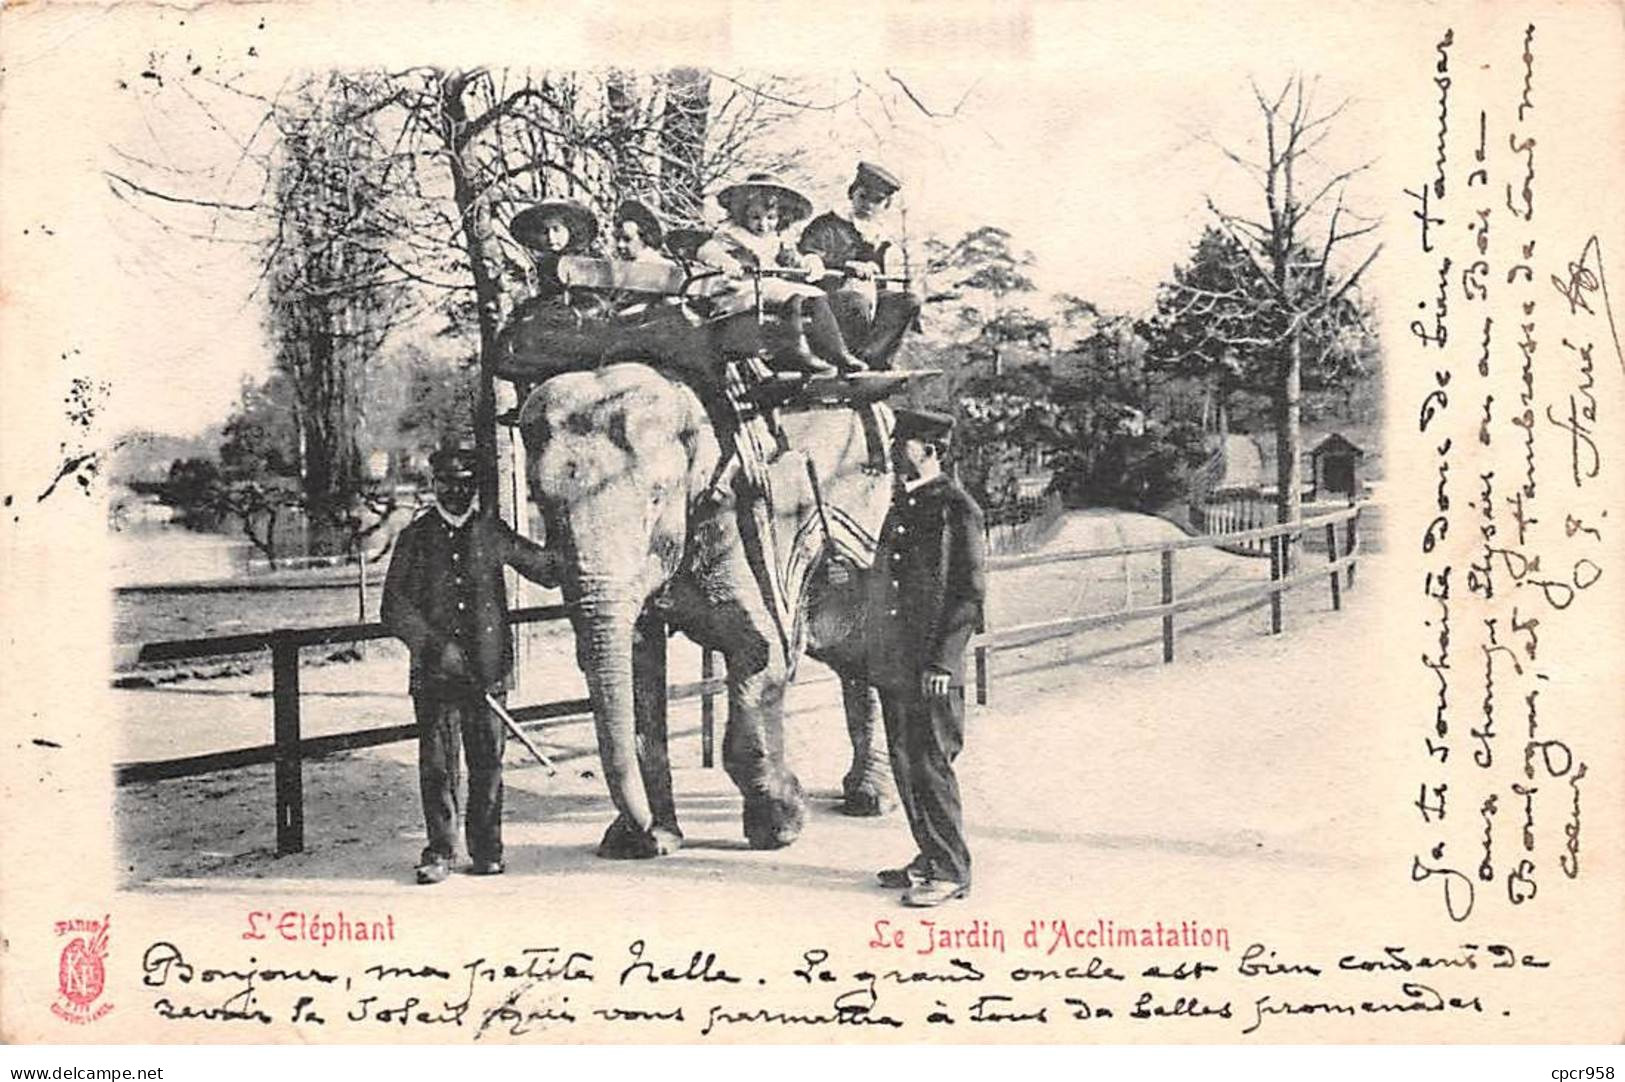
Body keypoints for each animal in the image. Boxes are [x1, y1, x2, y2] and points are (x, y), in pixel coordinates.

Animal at [516, 357, 903, 857]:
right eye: (542, 502)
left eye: (658, 495)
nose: (642, 830)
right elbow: (639, 667)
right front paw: (644, 844)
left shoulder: (747, 520)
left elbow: (762, 653)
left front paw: (781, 829)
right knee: (851, 654)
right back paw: (863, 793)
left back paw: (872, 801)